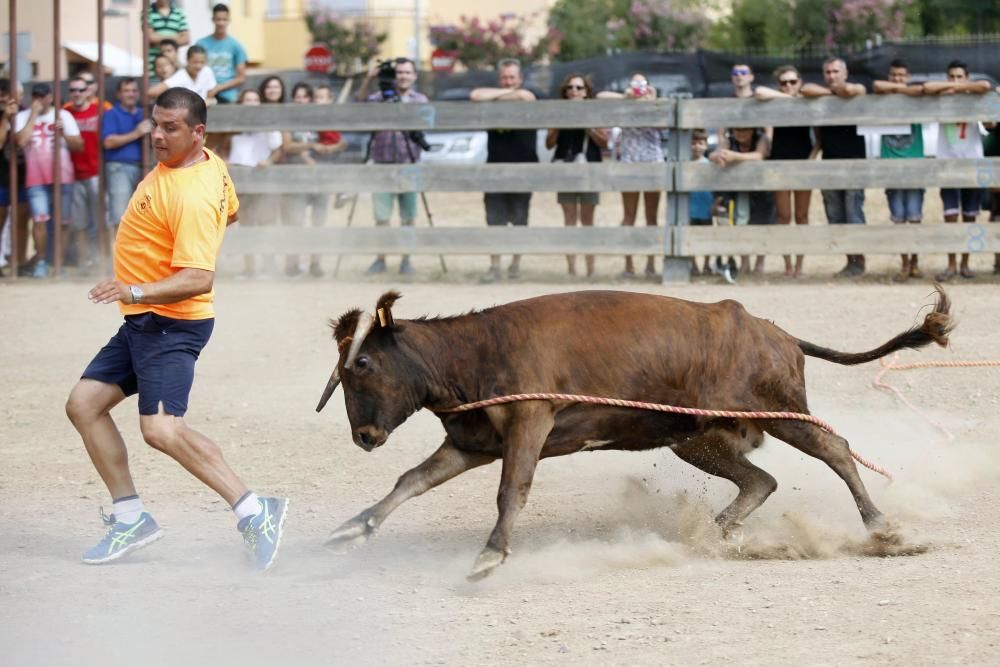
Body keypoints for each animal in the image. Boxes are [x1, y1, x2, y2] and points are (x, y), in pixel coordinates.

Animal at [316, 288, 948, 580]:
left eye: (364, 363)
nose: (363, 435)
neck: (472, 352)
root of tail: (778, 334)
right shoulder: (472, 442)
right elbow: (412, 480)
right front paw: (352, 529)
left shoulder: (530, 420)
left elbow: (511, 491)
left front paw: (490, 555)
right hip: (698, 437)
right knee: (760, 480)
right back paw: (715, 533)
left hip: (778, 411)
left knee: (837, 451)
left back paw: (882, 528)